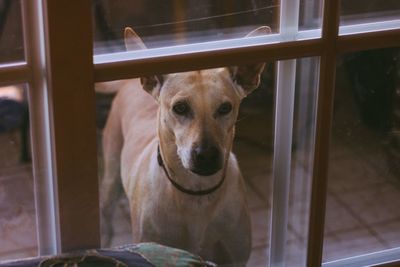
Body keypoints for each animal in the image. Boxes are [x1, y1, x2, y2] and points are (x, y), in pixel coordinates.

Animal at [100, 26, 270, 266]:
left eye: (225, 108)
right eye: (180, 108)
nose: (206, 155)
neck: (196, 194)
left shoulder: (234, 256)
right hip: (110, 179)